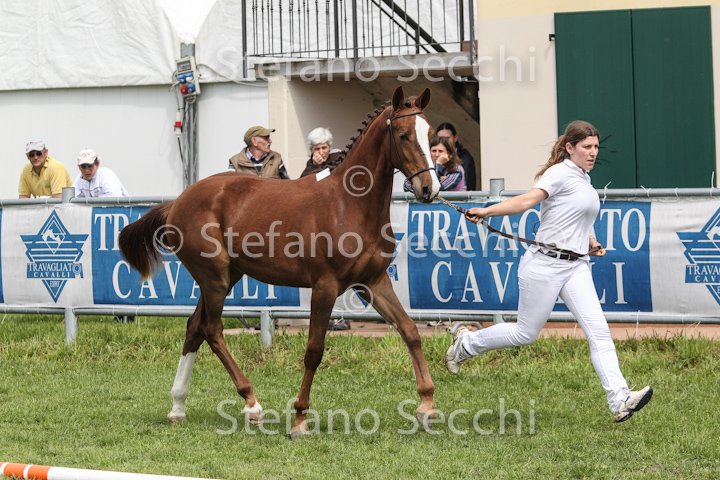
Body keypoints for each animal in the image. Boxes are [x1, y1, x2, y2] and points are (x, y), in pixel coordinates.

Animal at [118, 86, 441, 438]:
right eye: (403, 135)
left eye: (431, 135)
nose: (429, 188)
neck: (350, 204)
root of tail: (176, 203)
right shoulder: (325, 286)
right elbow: (314, 350)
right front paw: (299, 418)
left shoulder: (373, 282)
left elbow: (409, 330)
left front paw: (426, 406)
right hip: (214, 278)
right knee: (211, 329)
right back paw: (251, 404)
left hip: (226, 276)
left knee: (193, 329)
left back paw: (178, 406)